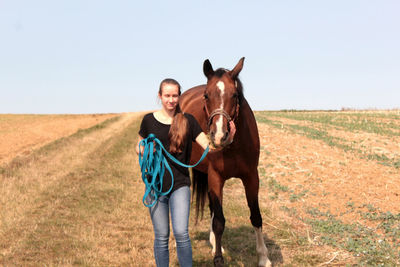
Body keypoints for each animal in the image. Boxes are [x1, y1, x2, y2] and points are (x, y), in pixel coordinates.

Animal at [181, 57, 272, 266]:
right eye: (206, 96)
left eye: (235, 95)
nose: (220, 135)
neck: (234, 146)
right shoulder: (216, 177)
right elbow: (219, 221)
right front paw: (218, 259)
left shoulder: (251, 177)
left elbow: (256, 216)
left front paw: (263, 257)